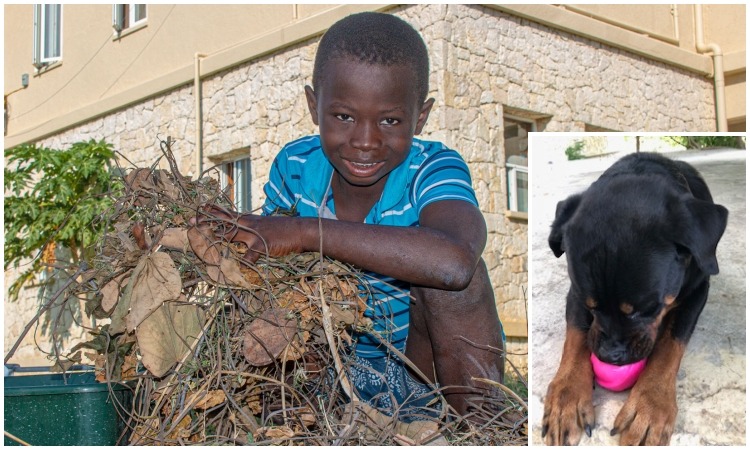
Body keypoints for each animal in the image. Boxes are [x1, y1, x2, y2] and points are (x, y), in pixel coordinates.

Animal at [544, 153, 732, 444]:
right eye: (591, 307)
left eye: (649, 309)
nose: (610, 356)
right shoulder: (576, 292)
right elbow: (575, 335)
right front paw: (566, 397)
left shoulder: (698, 290)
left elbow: (671, 344)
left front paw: (650, 405)